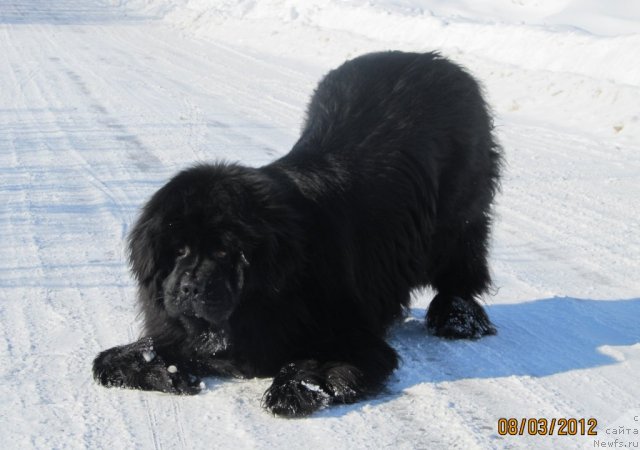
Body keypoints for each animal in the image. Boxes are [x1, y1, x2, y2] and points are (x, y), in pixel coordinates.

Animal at [92, 51, 502, 416]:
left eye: (225, 252)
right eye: (178, 250)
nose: (190, 287)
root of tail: (435, 60)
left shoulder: (346, 332)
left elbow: (317, 360)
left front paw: (295, 388)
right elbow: (108, 360)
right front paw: (160, 369)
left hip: (457, 219)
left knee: (461, 270)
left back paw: (457, 318)